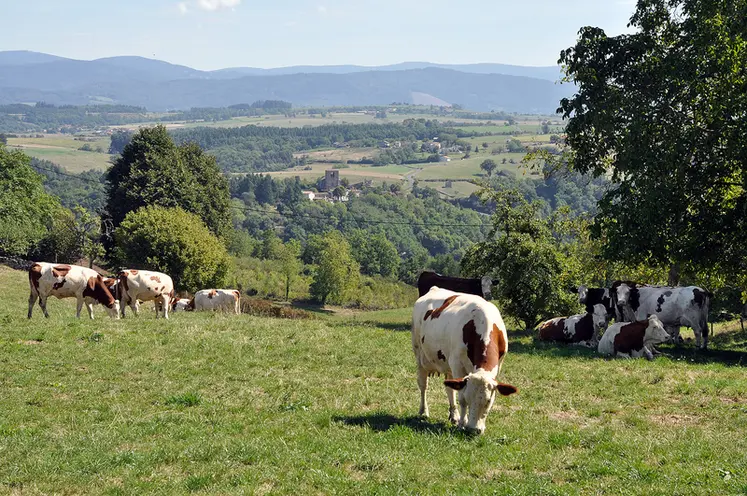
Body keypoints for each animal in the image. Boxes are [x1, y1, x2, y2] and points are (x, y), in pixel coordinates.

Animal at [411, 287, 517, 435]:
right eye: (469, 398)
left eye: (488, 401)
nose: (474, 430)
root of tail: (434, 288)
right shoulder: (457, 365)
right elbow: (460, 397)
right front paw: (463, 423)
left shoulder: (498, 365)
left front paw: (459, 420)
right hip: (420, 356)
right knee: (423, 385)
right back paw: (423, 411)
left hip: (448, 365)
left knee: (449, 388)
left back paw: (454, 416)